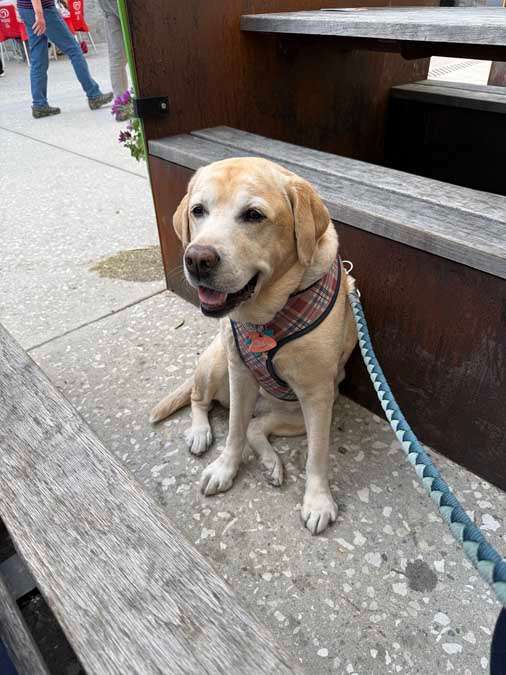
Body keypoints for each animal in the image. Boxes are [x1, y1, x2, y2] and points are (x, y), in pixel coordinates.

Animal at [151, 157, 357, 534]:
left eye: (253, 215)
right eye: (198, 210)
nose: (197, 259)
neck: (268, 315)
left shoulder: (318, 397)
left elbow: (317, 455)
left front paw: (318, 500)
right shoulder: (239, 372)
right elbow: (233, 431)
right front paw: (225, 468)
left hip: (298, 413)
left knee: (256, 428)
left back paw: (271, 462)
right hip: (216, 363)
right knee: (201, 401)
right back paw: (201, 432)